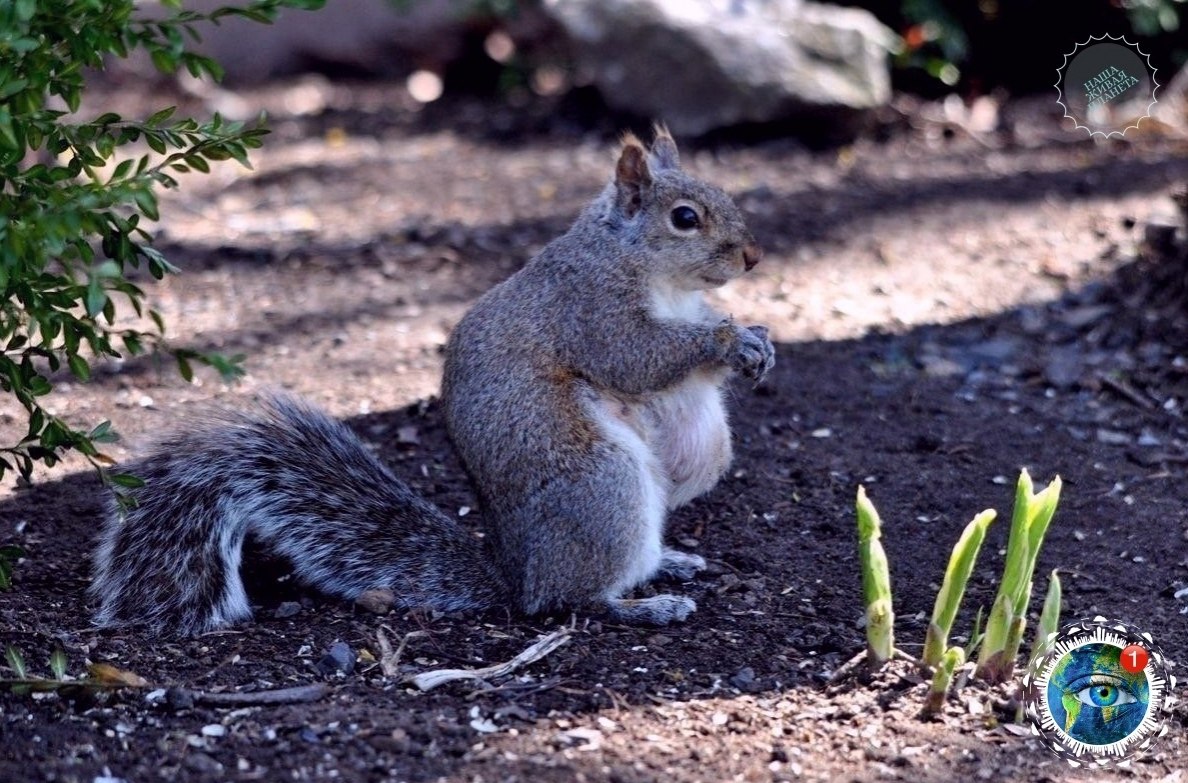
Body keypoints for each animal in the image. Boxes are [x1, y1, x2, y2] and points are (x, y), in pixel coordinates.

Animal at [95, 125, 779, 632]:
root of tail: (514, 574)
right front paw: (728, 340)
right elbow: (635, 358)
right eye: (685, 218)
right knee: (568, 600)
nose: (753, 257)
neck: (650, 270)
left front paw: (757, 339)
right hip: (602, 486)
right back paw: (644, 605)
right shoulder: (588, 310)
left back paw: (671, 562)